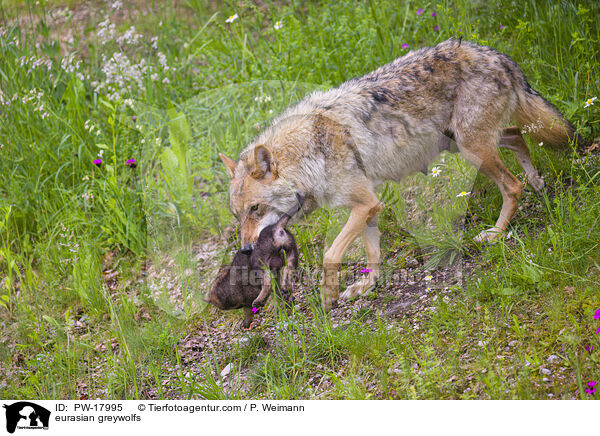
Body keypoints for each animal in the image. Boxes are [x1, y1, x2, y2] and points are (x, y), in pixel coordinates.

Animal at [219, 37, 576, 310]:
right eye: (238, 216)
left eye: (255, 209)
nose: (246, 250)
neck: (309, 152)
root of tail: (493, 53)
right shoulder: (367, 208)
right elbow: (373, 255)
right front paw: (367, 286)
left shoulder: (365, 205)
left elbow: (331, 254)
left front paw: (328, 296)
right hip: (465, 144)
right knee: (517, 137)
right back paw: (538, 183)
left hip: (473, 150)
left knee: (513, 185)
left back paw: (496, 233)